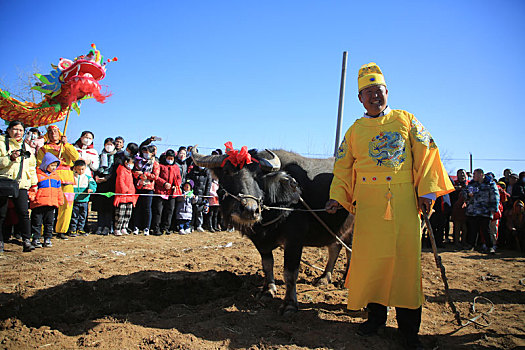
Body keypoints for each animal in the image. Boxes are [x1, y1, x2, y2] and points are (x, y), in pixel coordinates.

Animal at [191, 148, 352, 314]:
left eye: (258, 175)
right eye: (227, 171)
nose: (250, 209)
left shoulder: (294, 240)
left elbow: (290, 273)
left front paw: (289, 303)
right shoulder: (260, 242)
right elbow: (267, 265)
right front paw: (267, 290)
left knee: (349, 251)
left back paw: (344, 280)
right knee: (335, 248)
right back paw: (324, 277)